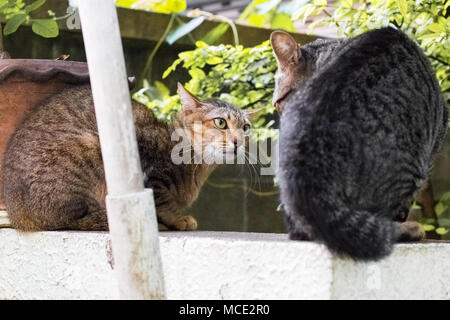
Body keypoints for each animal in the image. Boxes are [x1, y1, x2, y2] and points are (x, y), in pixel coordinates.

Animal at [0, 82, 253, 230]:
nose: (238, 141)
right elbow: (161, 200)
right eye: (220, 122)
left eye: (246, 127)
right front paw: (176, 218)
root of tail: (17, 213)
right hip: (92, 146)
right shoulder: (147, 167)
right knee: (73, 221)